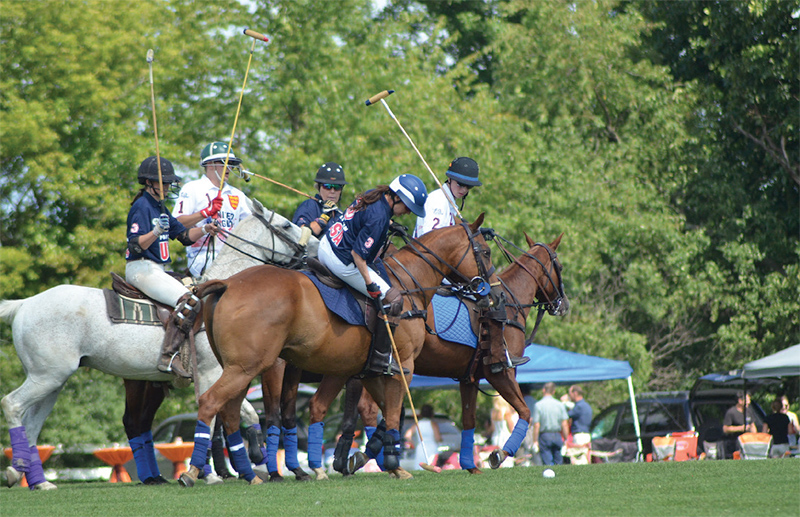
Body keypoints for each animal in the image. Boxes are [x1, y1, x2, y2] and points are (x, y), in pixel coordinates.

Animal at [0, 198, 318, 488]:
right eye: (286, 225)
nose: (315, 248)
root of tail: (24, 303)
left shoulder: (228, 371)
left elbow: (247, 412)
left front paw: (257, 460)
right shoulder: (212, 373)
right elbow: (212, 415)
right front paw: (208, 474)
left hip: (54, 380)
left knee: (34, 424)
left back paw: (39, 481)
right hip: (47, 376)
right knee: (12, 404)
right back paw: (16, 470)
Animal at [180, 214, 500, 484]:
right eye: (485, 252)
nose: (494, 293)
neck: (409, 283)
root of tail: (227, 283)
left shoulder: (367, 371)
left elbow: (383, 414)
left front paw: (372, 460)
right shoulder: (402, 367)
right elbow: (393, 414)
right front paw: (391, 463)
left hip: (240, 368)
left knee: (231, 412)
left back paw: (250, 473)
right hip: (247, 367)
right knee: (211, 403)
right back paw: (197, 471)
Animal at [324, 232, 568, 474]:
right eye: (560, 266)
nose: (564, 305)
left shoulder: (469, 378)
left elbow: (468, 420)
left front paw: (470, 465)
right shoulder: (500, 373)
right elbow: (525, 411)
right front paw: (499, 454)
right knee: (371, 407)